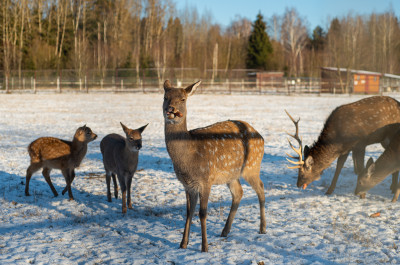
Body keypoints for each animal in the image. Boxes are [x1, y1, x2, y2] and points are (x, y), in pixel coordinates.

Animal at [162, 79, 266, 252]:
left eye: (183, 99)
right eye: (165, 97)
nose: (171, 109)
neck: (188, 158)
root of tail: (261, 136)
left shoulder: (206, 180)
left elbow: (202, 213)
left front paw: (204, 247)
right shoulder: (187, 184)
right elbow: (189, 212)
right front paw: (183, 243)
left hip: (252, 166)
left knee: (261, 187)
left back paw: (263, 228)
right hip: (232, 175)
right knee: (239, 192)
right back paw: (225, 231)